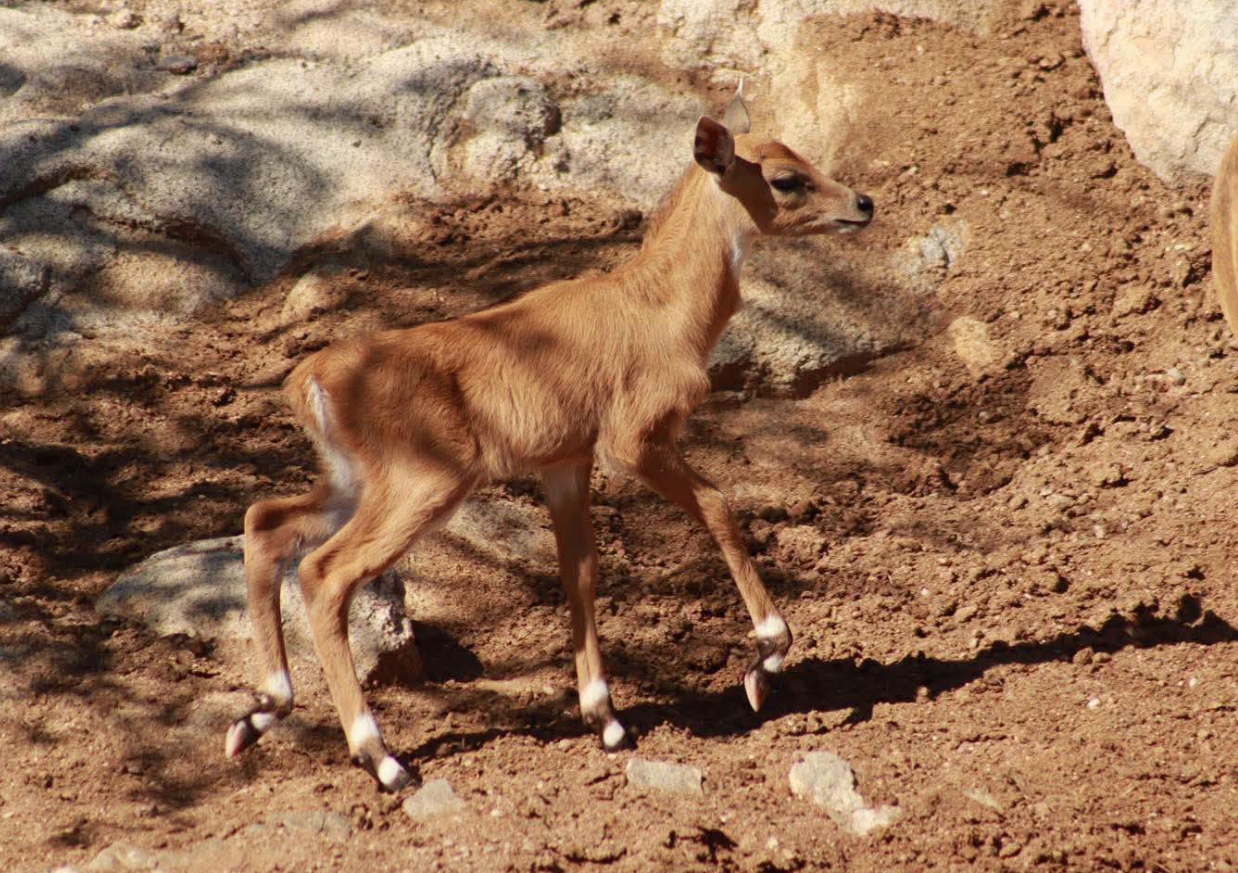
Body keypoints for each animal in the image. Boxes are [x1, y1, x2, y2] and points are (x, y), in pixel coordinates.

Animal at [225, 90, 874, 791]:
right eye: (784, 178)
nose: (863, 203)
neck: (660, 311)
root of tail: (310, 380)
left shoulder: (566, 462)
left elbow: (579, 568)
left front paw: (607, 719)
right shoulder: (632, 439)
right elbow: (720, 506)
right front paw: (764, 663)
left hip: (354, 483)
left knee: (266, 523)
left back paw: (254, 718)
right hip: (424, 485)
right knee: (324, 573)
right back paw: (384, 760)